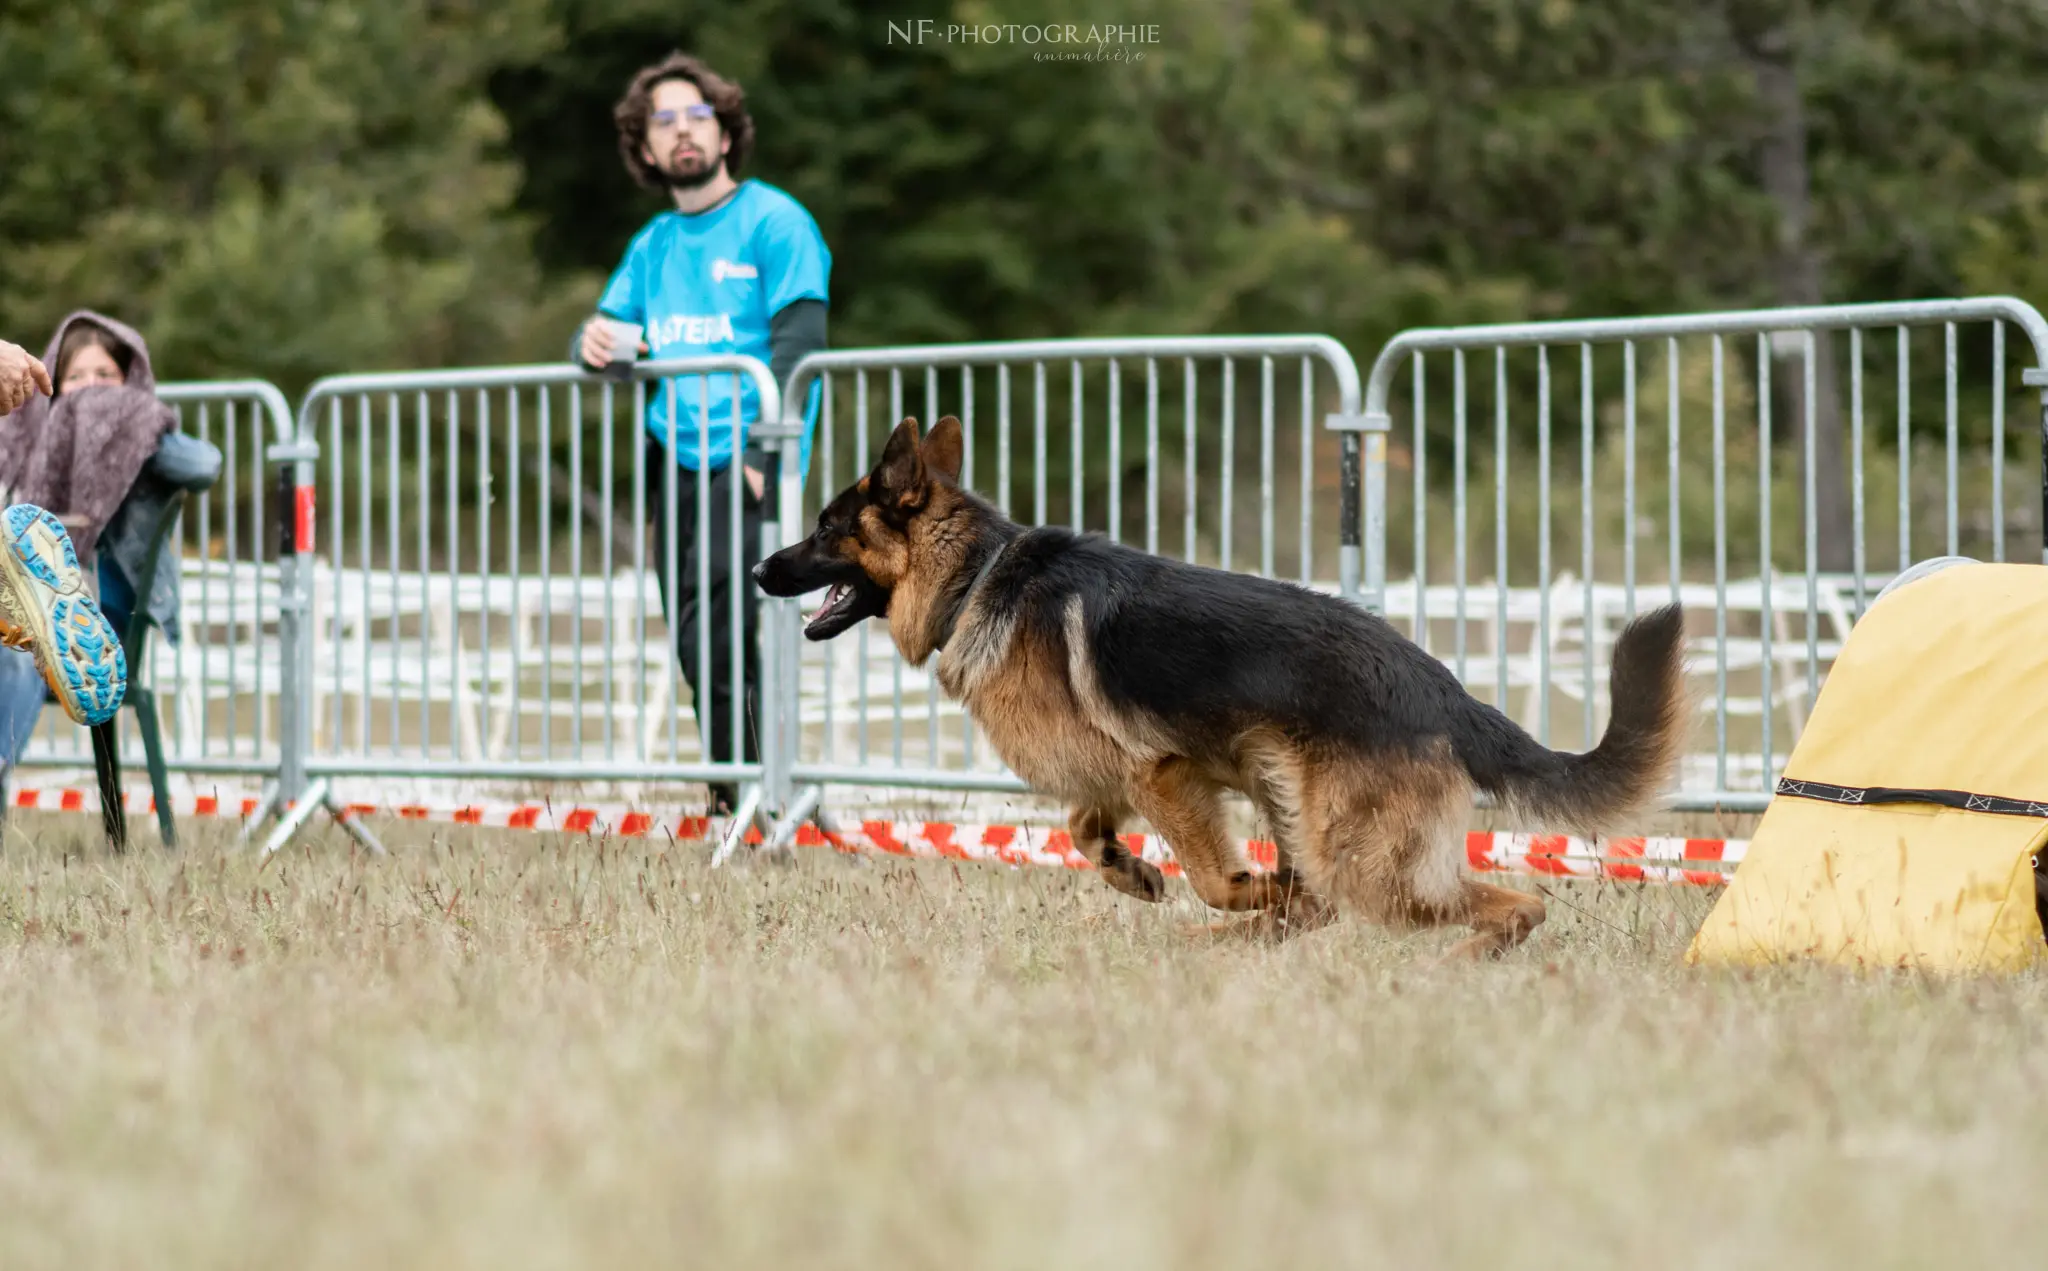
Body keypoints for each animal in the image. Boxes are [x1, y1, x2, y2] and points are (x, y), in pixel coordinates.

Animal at [761, 419, 1687, 961]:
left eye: (825, 528)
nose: (760, 568)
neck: (975, 576)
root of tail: (1447, 694)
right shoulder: (1114, 777)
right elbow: (1083, 829)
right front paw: (1135, 874)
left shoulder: (1163, 771)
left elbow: (1211, 872)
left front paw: (1241, 889)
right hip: (1288, 788)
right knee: (1344, 907)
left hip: (1348, 847)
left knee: (1501, 901)